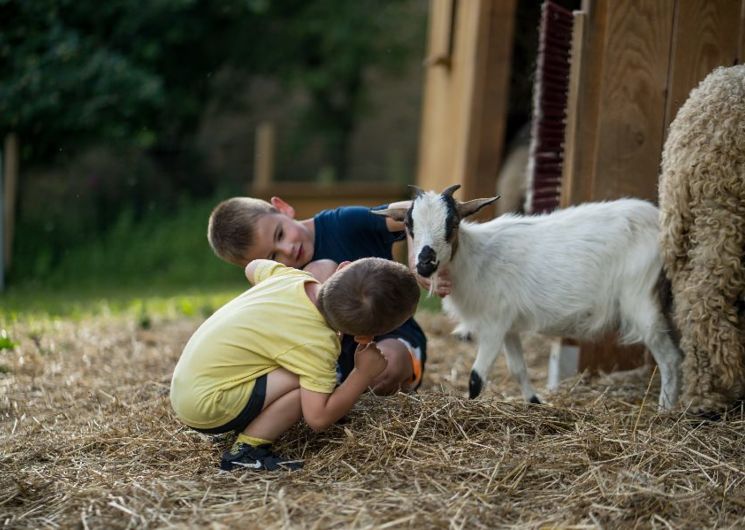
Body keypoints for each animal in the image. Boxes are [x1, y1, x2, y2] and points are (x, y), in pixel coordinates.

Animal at [378, 186, 680, 408]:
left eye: (452, 223)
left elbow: (476, 377)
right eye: (409, 224)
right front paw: (535, 403)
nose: (424, 263)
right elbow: (518, 369)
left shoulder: (493, 323)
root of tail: (659, 222)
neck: (475, 260)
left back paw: (665, 410)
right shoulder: (507, 325)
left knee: (670, 359)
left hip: (641, 297)